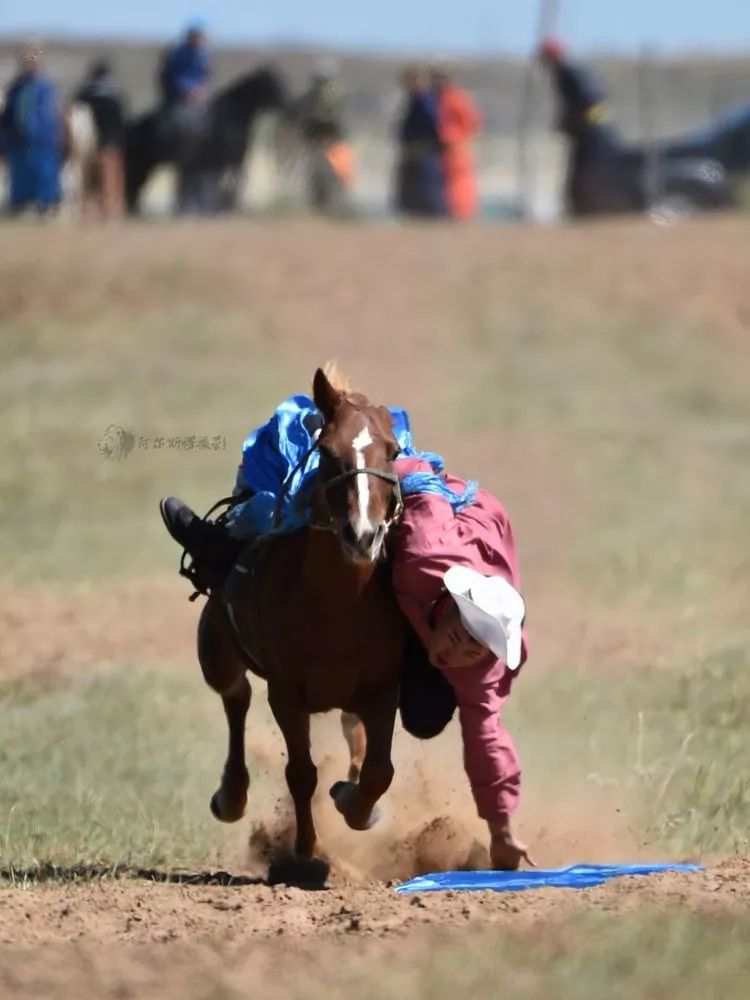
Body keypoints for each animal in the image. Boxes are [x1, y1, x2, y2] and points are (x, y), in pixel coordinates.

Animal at [123, 67, 288, 216]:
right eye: (272, 83)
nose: (286, 103)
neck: (232, 116)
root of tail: (132, 126)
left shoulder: (227, 163)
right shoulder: (228, 163)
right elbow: (231, 184)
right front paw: (227, 206)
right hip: (141, 167)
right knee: (133, 187)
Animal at [195, 368, 406, 860]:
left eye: (393, 451)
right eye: (327, 451)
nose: (362, 535)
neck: (337, 606)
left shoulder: (383, 688)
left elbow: (378, 770)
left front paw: (354, 803)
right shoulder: (286, 693)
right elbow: (302, 772)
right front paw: (306, 851)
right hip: (215, 649)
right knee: (235, 696)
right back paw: (231, 796)